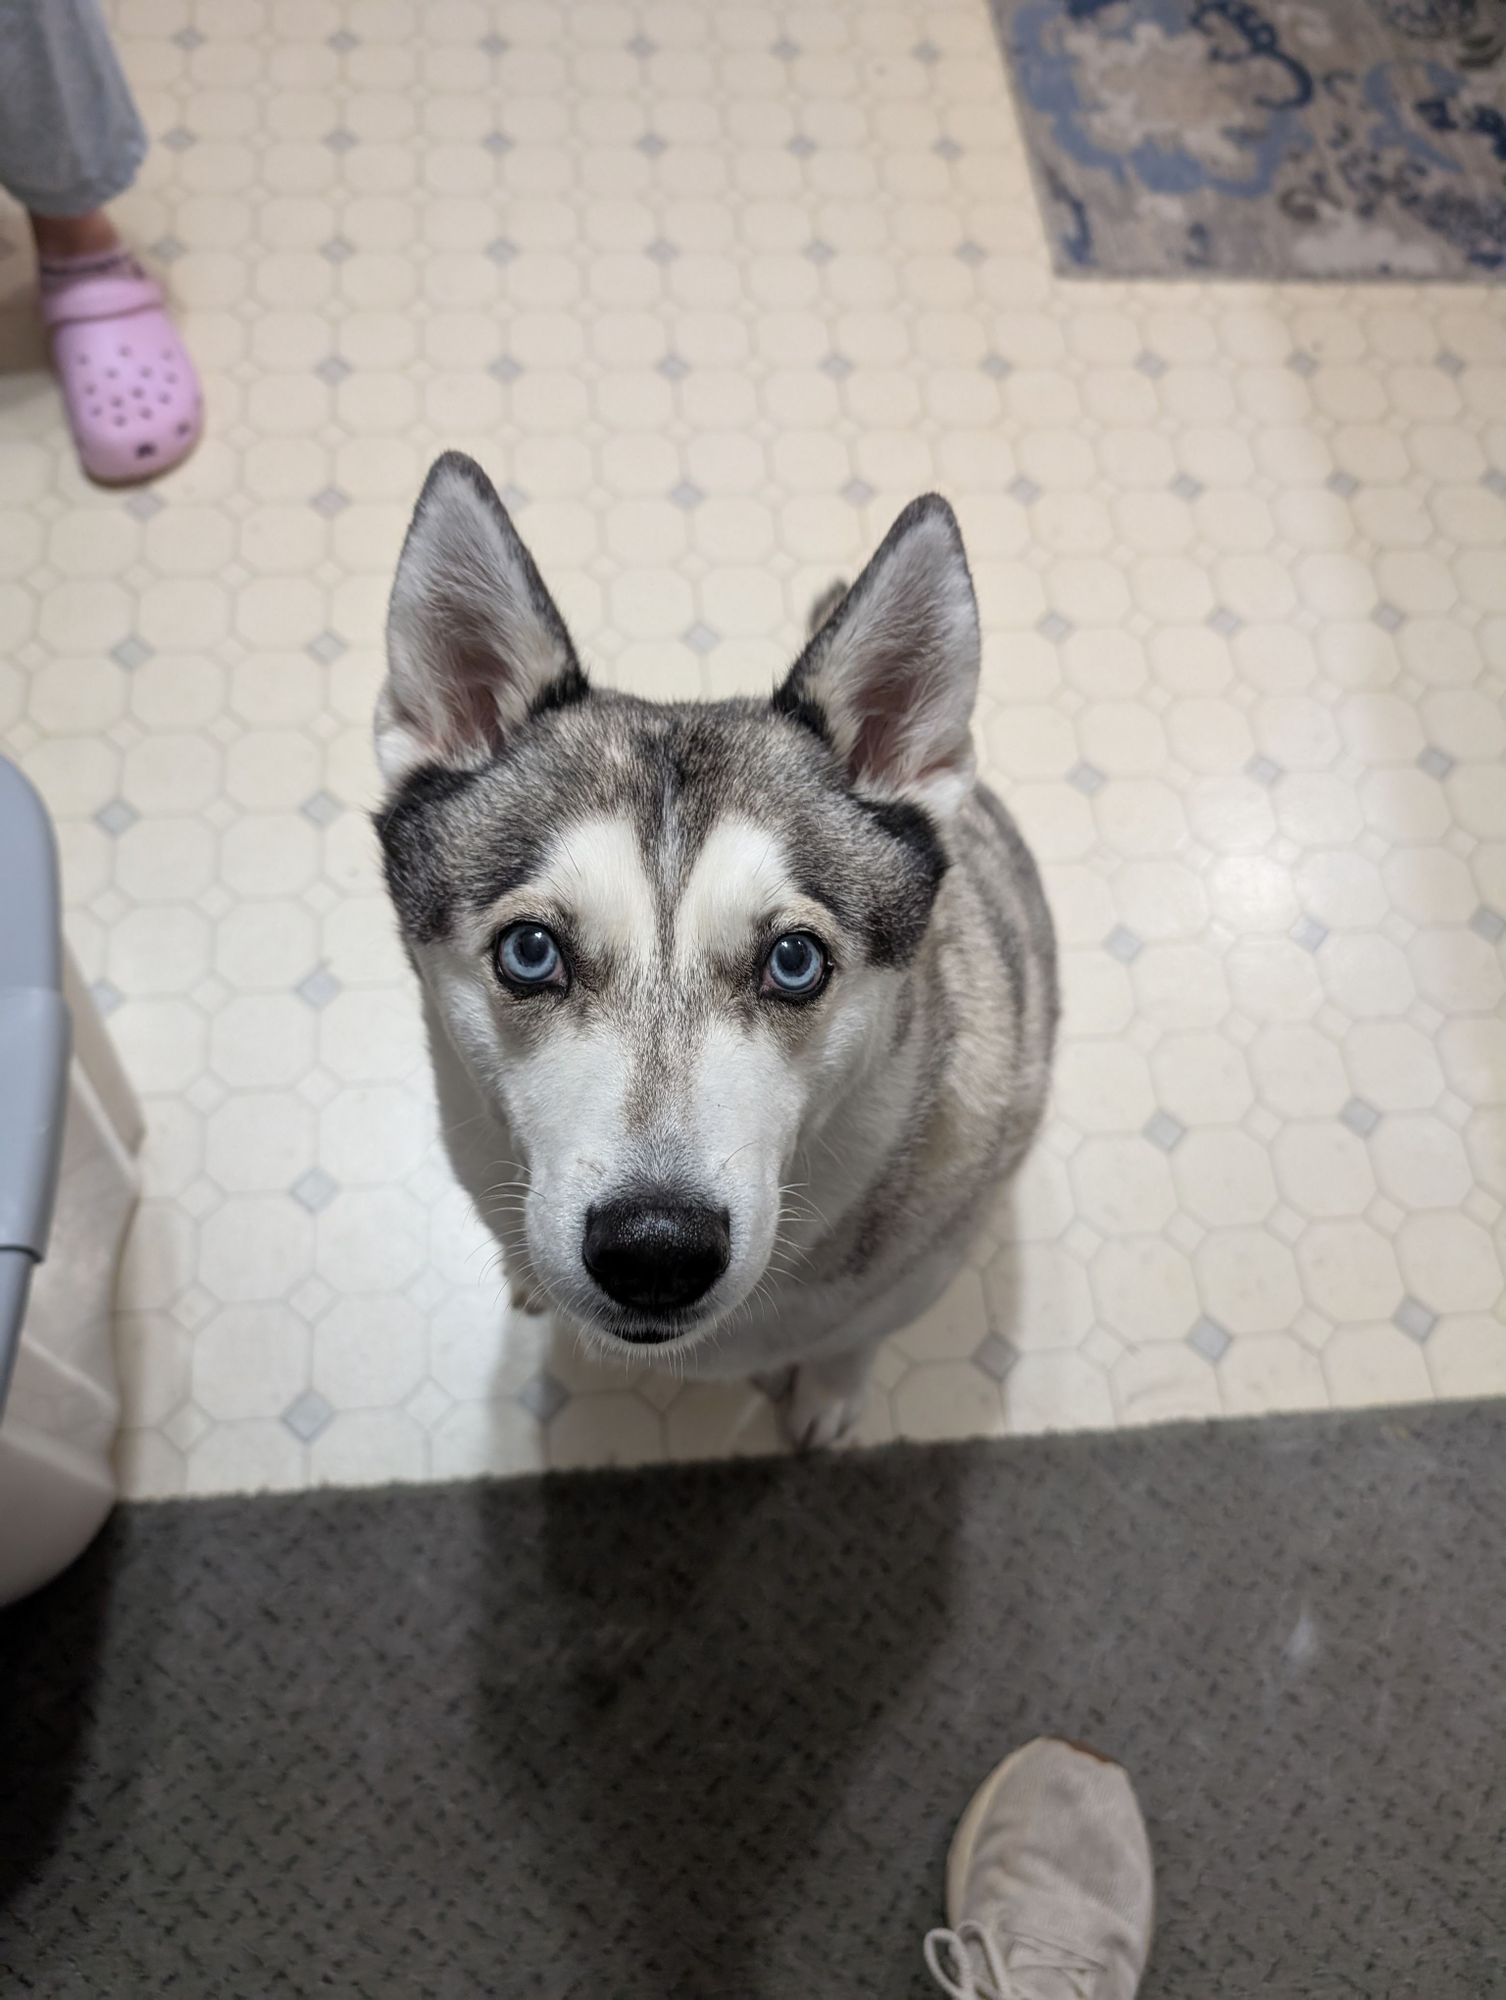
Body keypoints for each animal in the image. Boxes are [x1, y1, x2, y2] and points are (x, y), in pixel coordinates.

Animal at [374, 454, 1056, 1448]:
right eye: (531, 950)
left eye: (795, 962)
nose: (656, 1250)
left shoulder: (918, 1275)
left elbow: (857, 1338)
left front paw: (828, 1394)